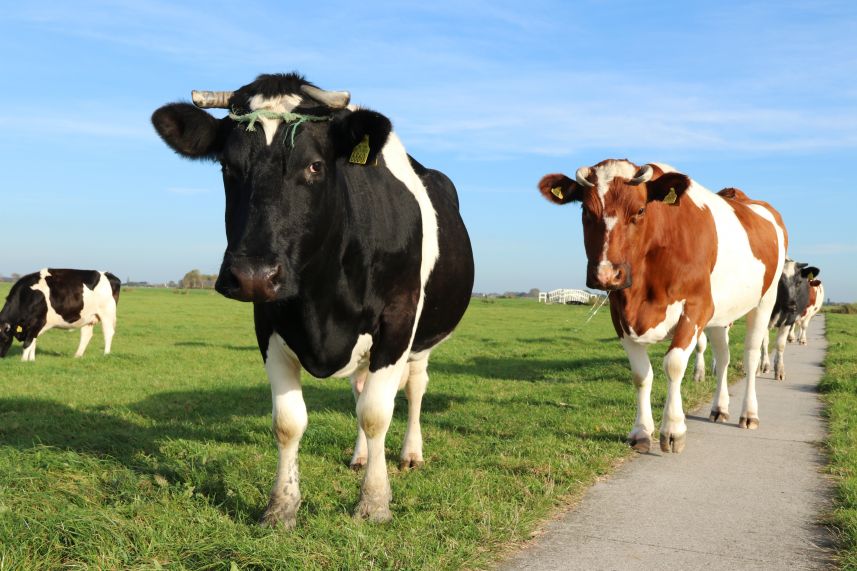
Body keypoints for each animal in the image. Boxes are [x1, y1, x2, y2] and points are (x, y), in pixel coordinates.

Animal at [151, 73, 474, 527]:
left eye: (314, 165)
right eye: (227, 167)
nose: (253, 275)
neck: (323, 303)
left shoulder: (397, 321)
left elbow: (377, 414)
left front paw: (374, 502)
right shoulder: (267, 323)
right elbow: (289, 422)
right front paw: (281, 506)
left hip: (422, 339)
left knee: (413, 389)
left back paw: (411, 453)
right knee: (360, 388)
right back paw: (360, 456)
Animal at [538, 161, 786, 454]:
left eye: (640, 210)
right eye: (585, 210)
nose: (606, 275)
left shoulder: (696, 307)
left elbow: (674, 364)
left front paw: (673, 430)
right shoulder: (619, 314)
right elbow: (641, 374)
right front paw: (641, 431)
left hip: (765, 300)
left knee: (750, 356)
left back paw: (748, 414)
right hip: (720, 314)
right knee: (723, 357)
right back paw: (719, 408)